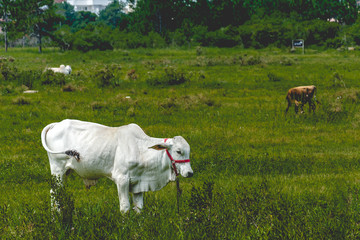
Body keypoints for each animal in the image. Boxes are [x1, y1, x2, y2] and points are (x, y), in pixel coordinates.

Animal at [40, 119, 193, 213]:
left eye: (188, 151)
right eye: (178, 151)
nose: (190, 173)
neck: (140, 149)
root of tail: (55, 124)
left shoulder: (139, 183)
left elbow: (139, 208)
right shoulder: (122, 180)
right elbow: (125, 208)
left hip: (65, 172)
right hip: (57, 170)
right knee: (54, 193)